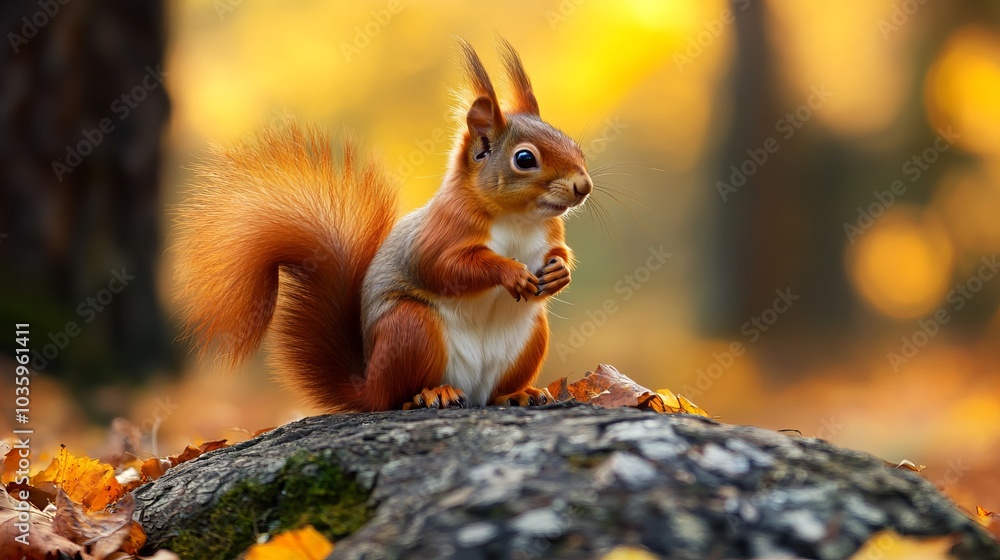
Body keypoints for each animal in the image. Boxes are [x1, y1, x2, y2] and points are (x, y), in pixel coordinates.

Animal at [173, 39, 592, 412]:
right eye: (524, 159)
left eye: (574, 145)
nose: (583, 186)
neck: (518, 219)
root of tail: (369, 385)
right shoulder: (440, 234)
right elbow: (446, 268)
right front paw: (511, 272)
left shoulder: (549, 235)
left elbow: (557, 252)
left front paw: (560, 272)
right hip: (411, 329)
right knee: (398, 397)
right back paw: (432, 394)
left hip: (529, 338)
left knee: (493, 393)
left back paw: (517, 394)